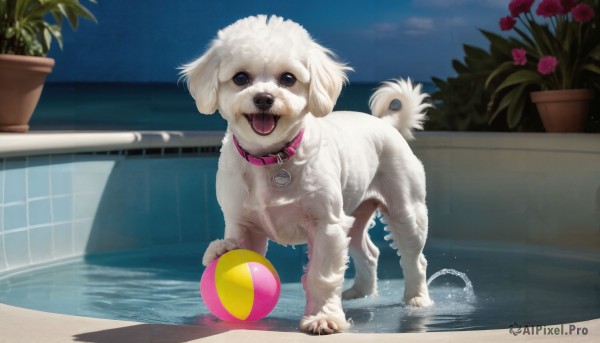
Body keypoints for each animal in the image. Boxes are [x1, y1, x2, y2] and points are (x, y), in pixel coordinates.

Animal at [182, 14, 432, 334]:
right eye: (240, 78)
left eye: (288, 78)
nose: (264, 98)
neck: (271, 158)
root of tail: (386, 123)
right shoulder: (243, 223)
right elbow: (241, 248)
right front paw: (221, 252)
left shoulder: (326, 225)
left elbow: (321, 276)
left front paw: (324, 317)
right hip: (355, 215)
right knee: (369, 252)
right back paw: (360, 292)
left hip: (406, 211)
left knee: (415, 259)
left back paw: (417, 299)